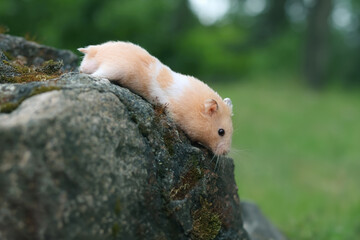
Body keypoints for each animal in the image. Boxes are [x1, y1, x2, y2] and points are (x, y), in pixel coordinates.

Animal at [78, 41, 233, 156]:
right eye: (221, 132)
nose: (225, 153)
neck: (193, 107)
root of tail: (94, 50)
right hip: (115, 68)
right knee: (94, 74)